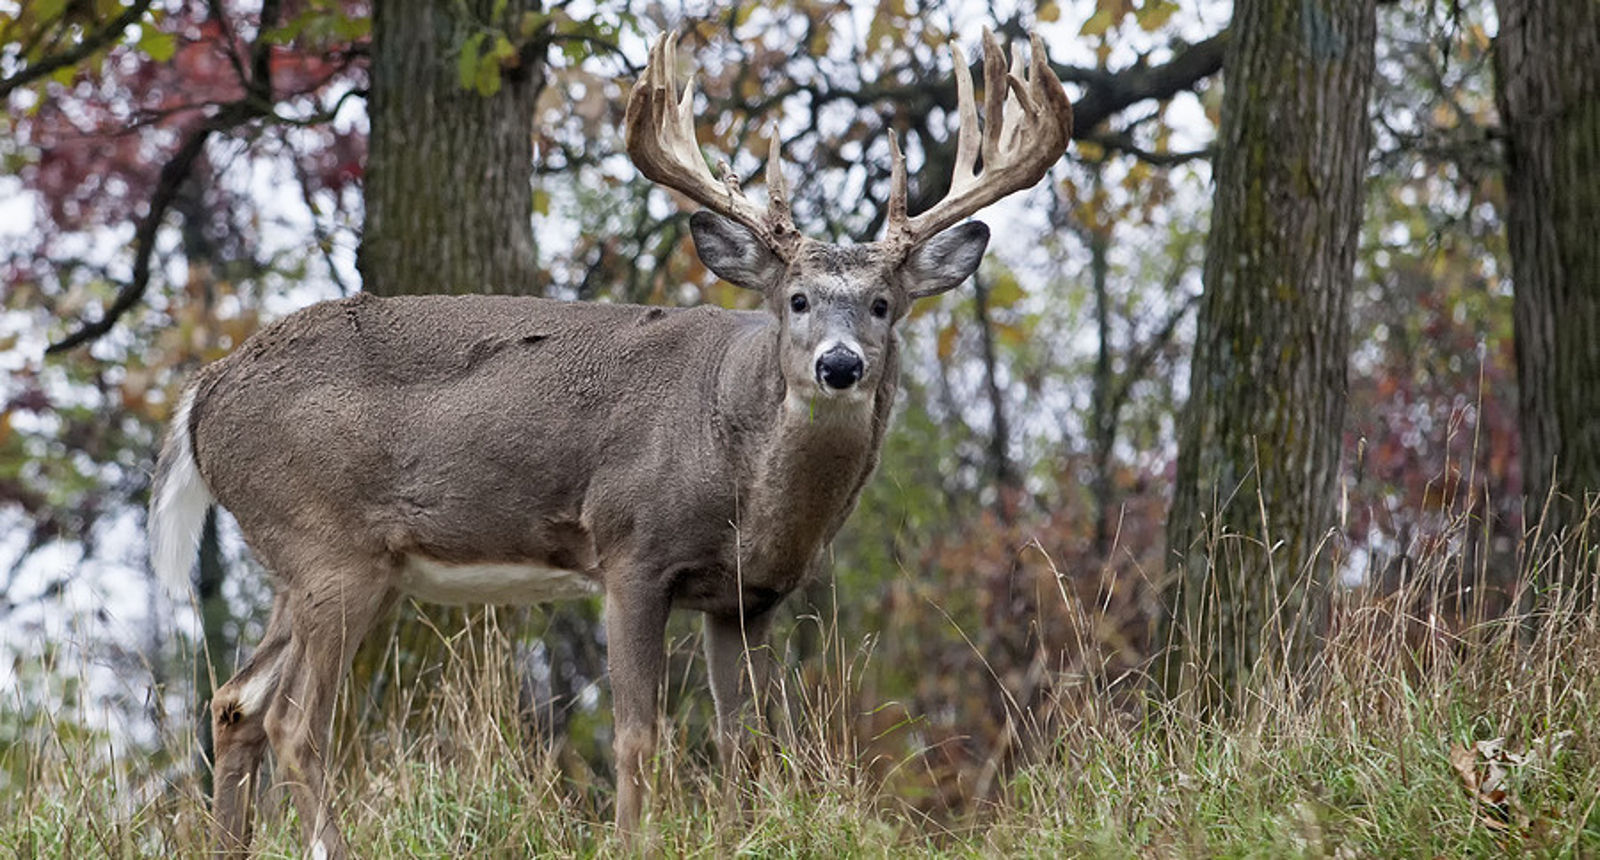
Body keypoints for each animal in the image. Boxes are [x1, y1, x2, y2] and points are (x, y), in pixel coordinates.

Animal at [150, 28, 1075, 856]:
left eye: (884, 304)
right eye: (798, 299)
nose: (840, 365)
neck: (741, 473)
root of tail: (205, 390)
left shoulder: (748, 598)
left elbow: (745, 744)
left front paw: (741, 836)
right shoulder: (632, 550)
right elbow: (641, 736)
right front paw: (637, 841)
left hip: (299, 564)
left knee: (234, 704)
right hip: (330, 547)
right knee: (294, 722)